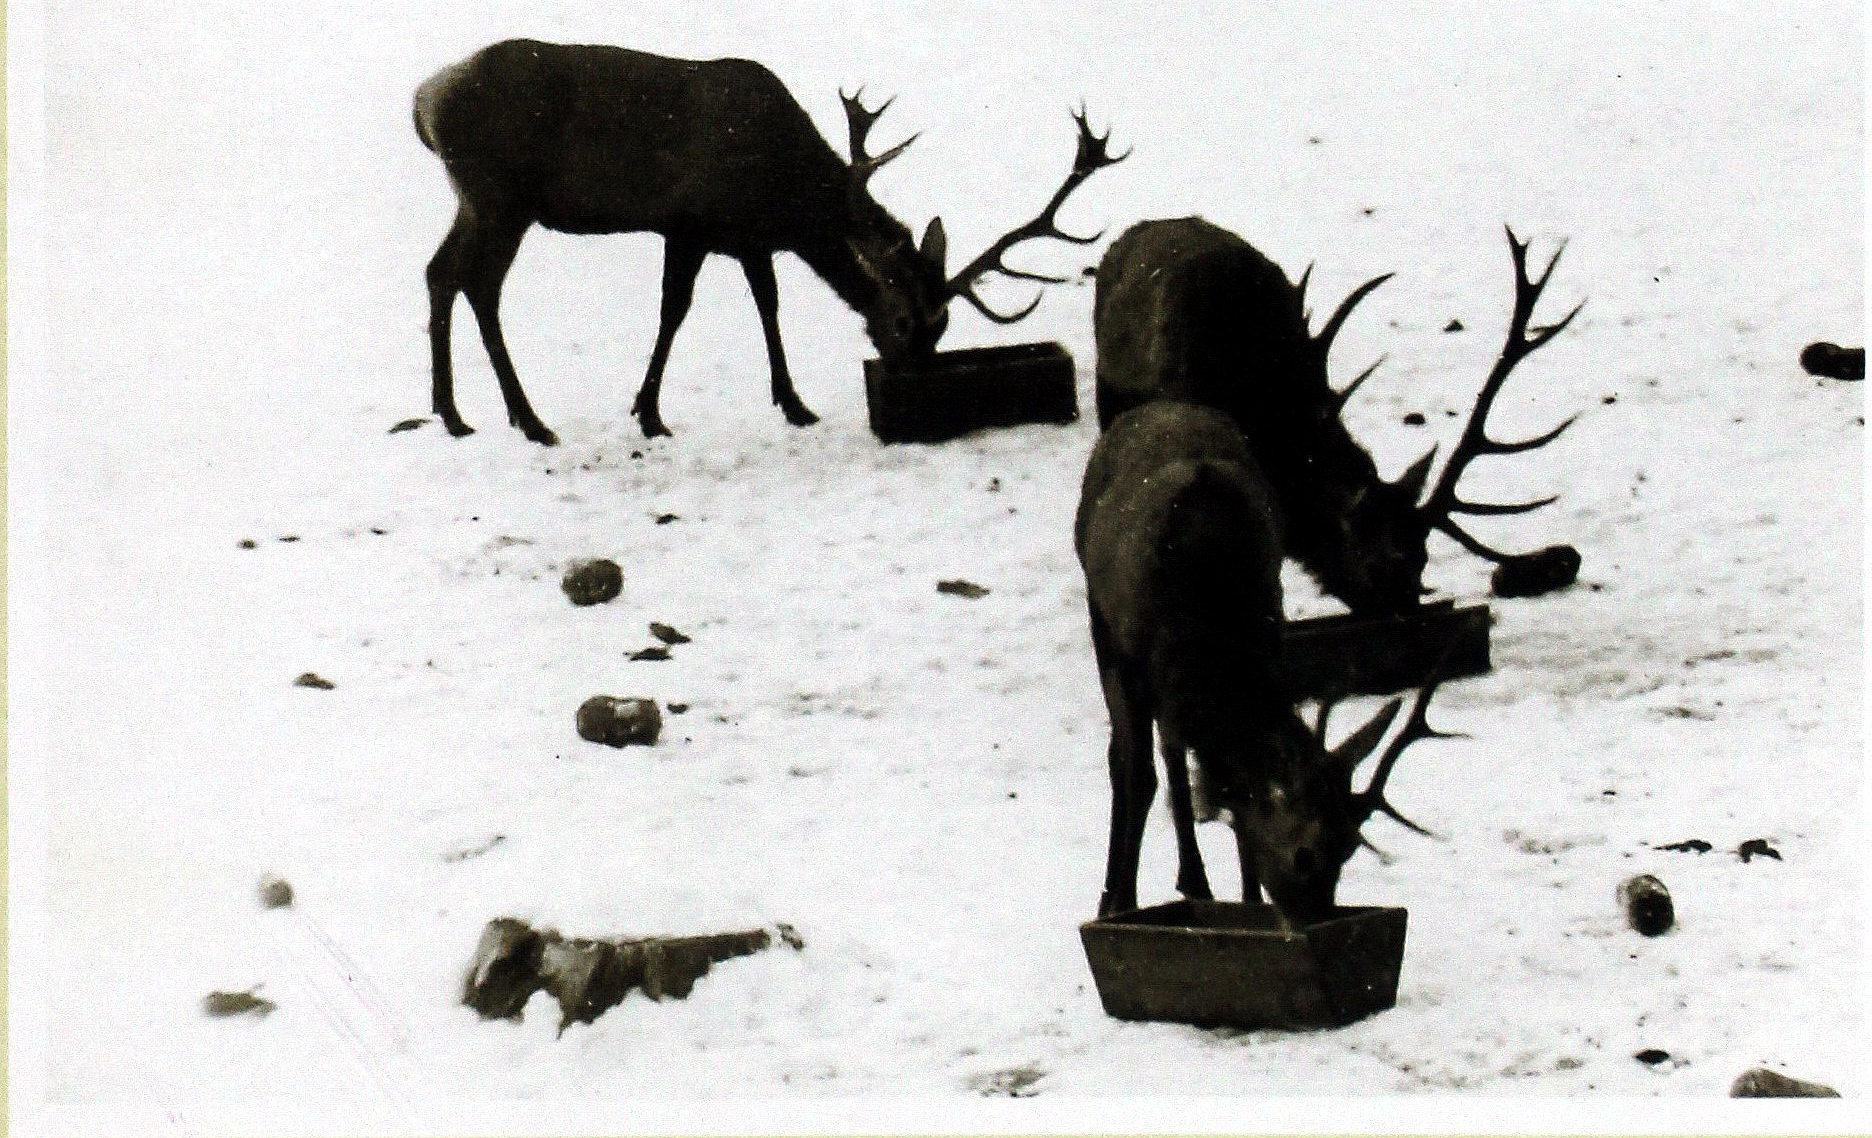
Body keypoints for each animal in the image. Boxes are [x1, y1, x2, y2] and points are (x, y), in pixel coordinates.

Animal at [415, 40, 1115, 441]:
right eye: (901, 320)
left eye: (943, 327)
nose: (913, 383)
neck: (784, 191)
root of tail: (425, 99)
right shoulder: (689, 222)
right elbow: (674, 311)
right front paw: (649, 413)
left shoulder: (751, 239)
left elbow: (768, 305)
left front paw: (794, 403)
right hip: (500, 197)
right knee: (478, 283)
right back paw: (529, 420)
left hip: (475, 200)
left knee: (440, 273)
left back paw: (453, 413)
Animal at [1070, 400, 1445, 924]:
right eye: (1304, 855)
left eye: (1349, 848)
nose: (1315, 918)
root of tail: (1156, 406)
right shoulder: (1136, 659)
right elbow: (1148, 776)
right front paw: (1147, 897)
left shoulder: (1267, 640)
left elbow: (1233, 798)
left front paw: (1245, 901)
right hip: (1099, 619)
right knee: (1126, 761)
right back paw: (1114, 895)